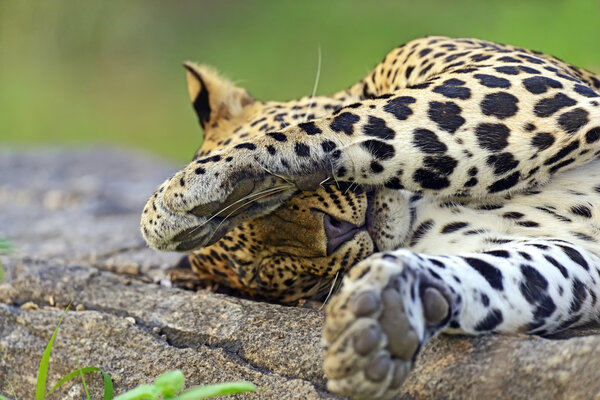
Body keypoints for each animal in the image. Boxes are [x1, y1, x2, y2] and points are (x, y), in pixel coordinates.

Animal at [141, 36, 600, 398]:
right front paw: (386, 315)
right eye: (269, 267)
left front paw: (194, 194)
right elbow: (503, 277)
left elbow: (353, 121)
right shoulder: (577, 259)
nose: (335, 233)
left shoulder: (520, 80)